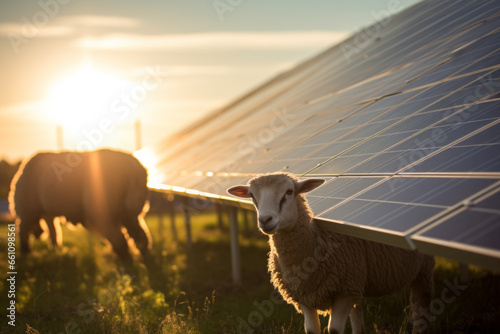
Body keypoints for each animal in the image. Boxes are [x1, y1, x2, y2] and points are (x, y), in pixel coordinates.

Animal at [8, 148, 150, 260]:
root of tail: (133, 170)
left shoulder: (29, 211)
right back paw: (145, 259)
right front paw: (56, 250)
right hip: (128, 213)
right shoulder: (47, 213)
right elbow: (53, 231)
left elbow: (27, 230)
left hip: (102, 211)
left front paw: (29, 251)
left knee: (120, 241)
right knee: (141, 237)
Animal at [228, 174, 434, 334]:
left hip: (422, 271)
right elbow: (311, 330)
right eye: (252, 195)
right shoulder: (305, 296)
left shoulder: (343, 292)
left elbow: (333, 329)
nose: (265, 220)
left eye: (289, 192)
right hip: (358, 280)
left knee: (421, 309)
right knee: (357, 315)